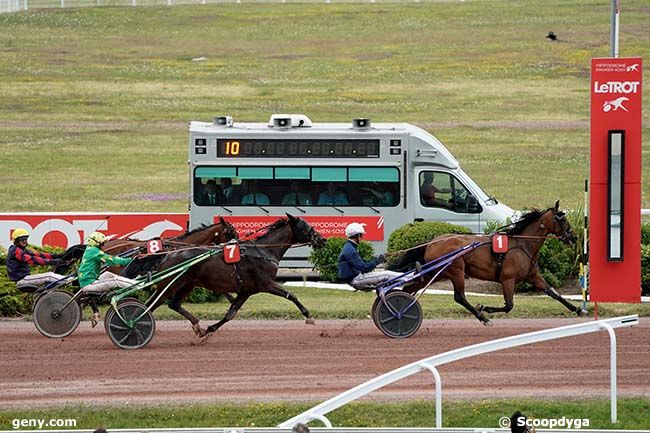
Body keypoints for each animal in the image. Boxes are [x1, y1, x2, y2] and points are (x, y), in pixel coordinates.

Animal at [121, 214, 324, 340]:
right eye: (308, 226)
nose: (322, 240)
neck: (264, 251)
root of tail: (167, 254)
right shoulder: (265, 283)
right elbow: (291, 295)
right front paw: (308, 316)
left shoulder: (246, 290)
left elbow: (231, 313)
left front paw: (209, 330)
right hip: (170, 285)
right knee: (150, 305)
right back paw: (133, 327)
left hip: (187, 284)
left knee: (172, 304)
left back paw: (196, 326)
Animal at [388, 201, 584, 326]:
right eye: (563, 219)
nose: (574, 237)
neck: (522, 244)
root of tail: (432, 242)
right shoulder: (508, 279)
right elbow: (509, 305)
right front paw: (485, 308)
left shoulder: (532, 276)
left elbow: (553, 293)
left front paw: (578, 309)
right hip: (456, 271)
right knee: (459, 297)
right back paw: (483, 318)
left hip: (436, 273)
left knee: (409, 289)